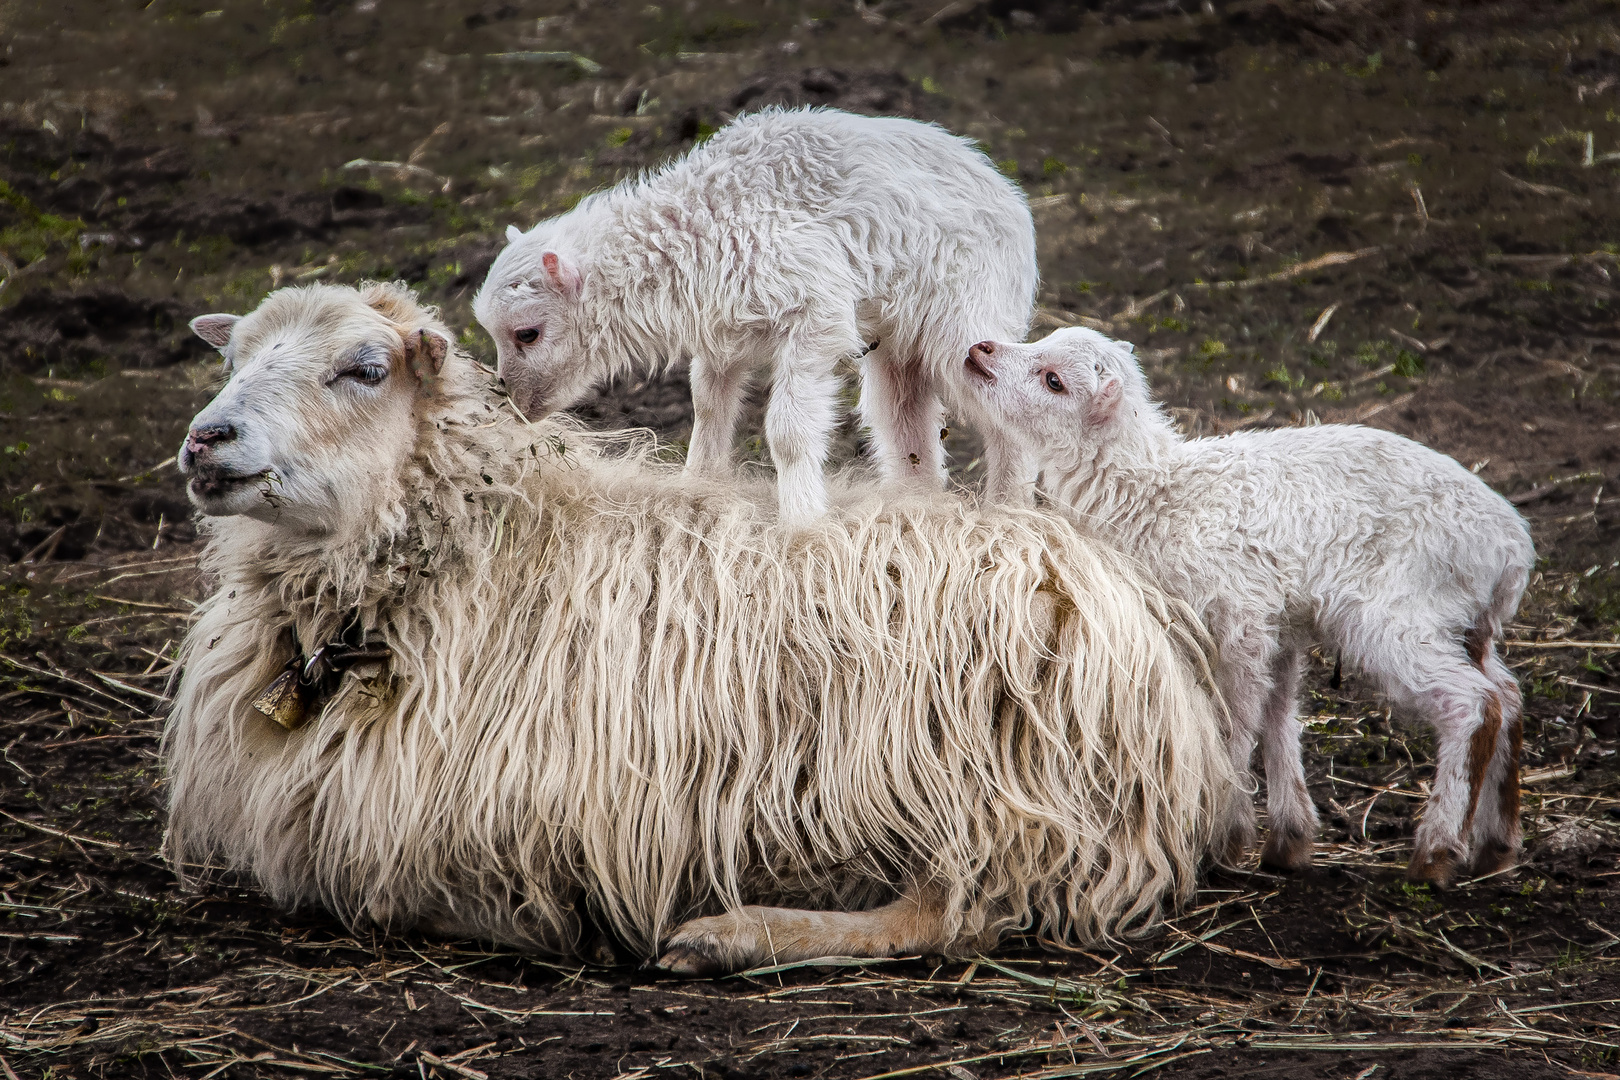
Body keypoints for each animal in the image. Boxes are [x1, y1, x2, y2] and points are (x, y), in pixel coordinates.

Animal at [164, 283, 1231, 977]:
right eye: (231, 357)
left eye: (364, 367)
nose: (206, 440)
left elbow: (402, 893)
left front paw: (562, 920)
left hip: (965, 778)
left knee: (959, 912)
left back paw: (734, 934)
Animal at [473, 107, 1043, 531]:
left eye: (528, 333)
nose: (516, 403)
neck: (695, 232)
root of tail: (1011, 197)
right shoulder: (723, 334)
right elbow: (707, 408)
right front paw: (697, 491)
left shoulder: (816, 313)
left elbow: (787, 431)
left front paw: (802, 522)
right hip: (899, 344)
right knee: (905, 422)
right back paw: (914, 509)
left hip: (964, 322)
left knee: (1008, 412)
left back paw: (1009, 513)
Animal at [952, 327, 1535, 887]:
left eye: (1054, 382)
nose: (979, 350)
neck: (1152, 497)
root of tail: (1512, 552)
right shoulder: (1277, 620)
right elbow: (1278, 713)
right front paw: (1288, 840)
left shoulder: (1240, 615)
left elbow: (1235, 719)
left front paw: (1224, 836)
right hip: (1462, 621)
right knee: (1507, 694)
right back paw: (1496, 844)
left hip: (1398, 609)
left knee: (1472, 703)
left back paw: (1436, 851)